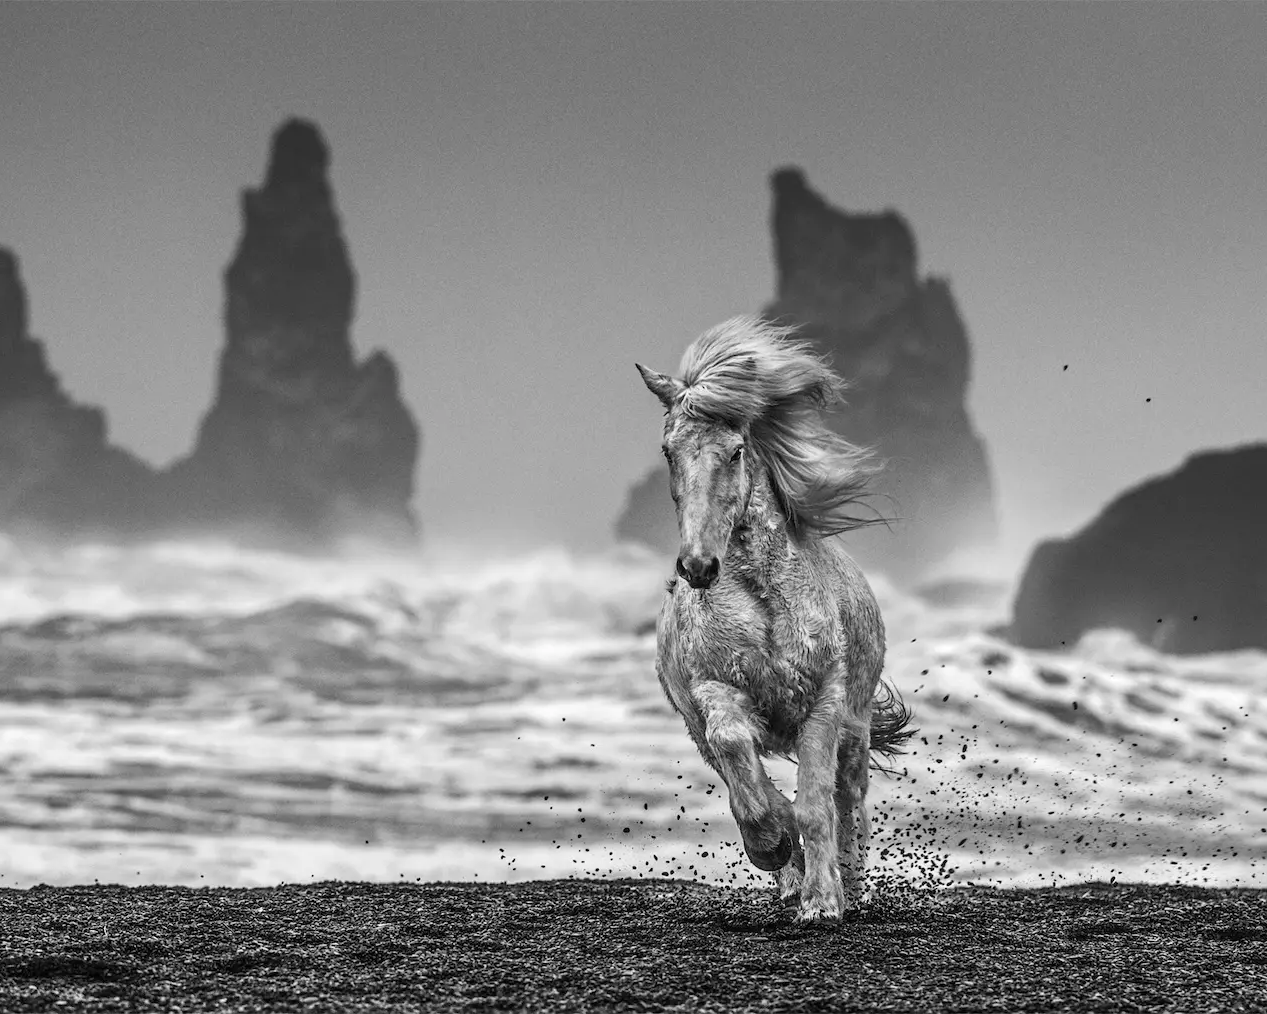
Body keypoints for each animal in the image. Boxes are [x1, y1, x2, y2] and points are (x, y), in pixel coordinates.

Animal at [635, 314, 914, 922]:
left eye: (737, 450)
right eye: (668, 451)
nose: (698, 566)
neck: (764, 601)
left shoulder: (824, 701)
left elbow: (815, 804)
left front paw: (824, 901)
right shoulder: (714, 694)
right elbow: (747, 773)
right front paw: (776, 846)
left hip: (856, 727)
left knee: (849, 797)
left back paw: (848, 882)